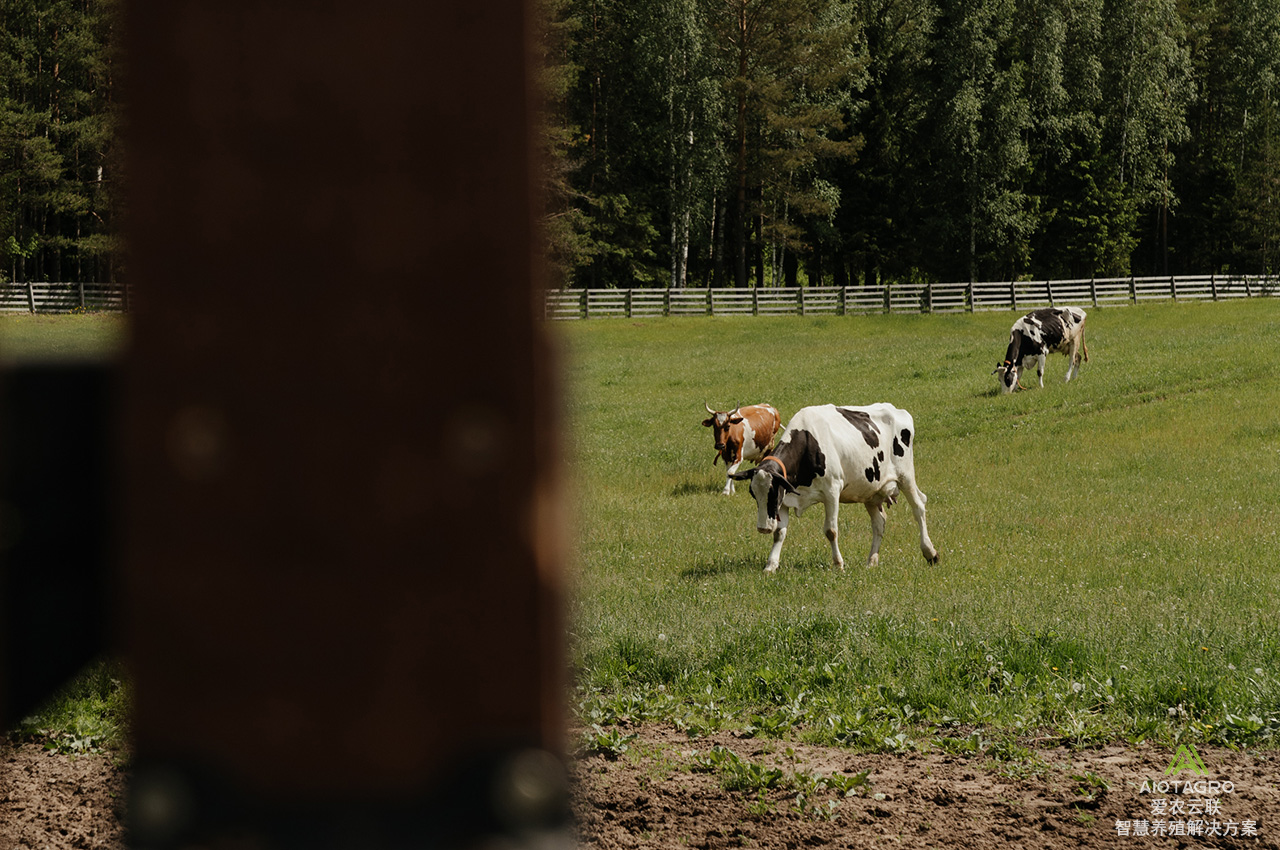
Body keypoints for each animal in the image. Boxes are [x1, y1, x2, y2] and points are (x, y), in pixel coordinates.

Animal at [732, 404, 942, 570]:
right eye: (754, 494)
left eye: (772, 493)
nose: (762, 528)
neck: (808, 441)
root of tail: (898, 411)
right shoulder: (786, 497)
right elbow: (779, 533)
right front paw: (771, 565)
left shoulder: (832, 491)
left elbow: (831, 531)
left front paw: (838, 564)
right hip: (871, 490)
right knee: (879, 523)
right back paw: (872, 560)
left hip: (906, 475)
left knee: (918, 508)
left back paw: (930, 552)